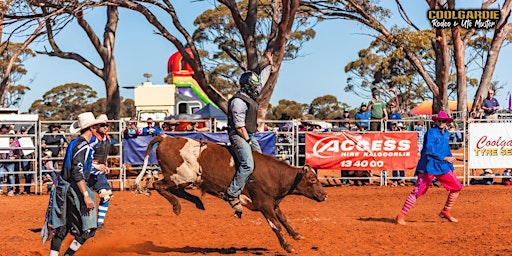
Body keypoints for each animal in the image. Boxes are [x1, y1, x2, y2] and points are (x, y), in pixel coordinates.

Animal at [134, 135, 326, 253]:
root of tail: (166, 138)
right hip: (180, 176)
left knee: (176, 190)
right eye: (312, 179)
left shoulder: (273, 203)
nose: (324, 195)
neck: (272, 174)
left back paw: (197, 202)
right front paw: (287, 246)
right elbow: (276, 225)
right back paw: (177, 206)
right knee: (158, 185)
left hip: (186, 179)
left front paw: (296, 235)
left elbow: (284, 219)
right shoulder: (265, 204)